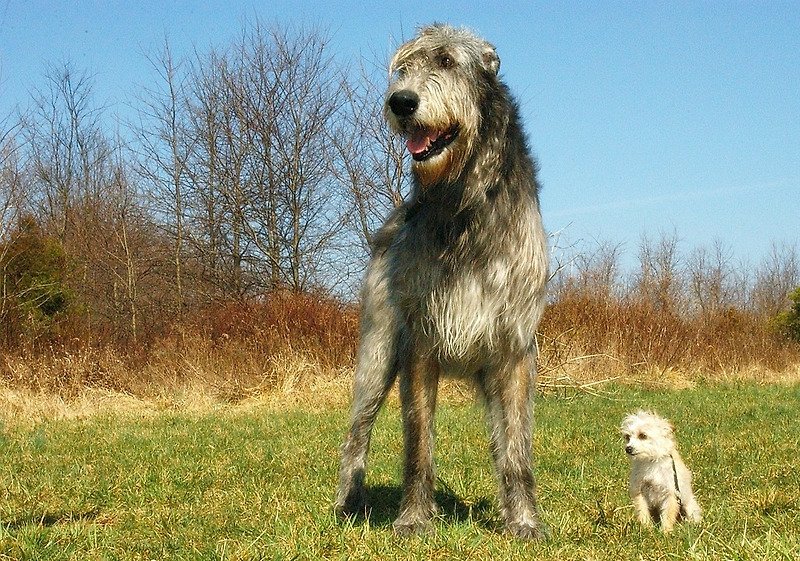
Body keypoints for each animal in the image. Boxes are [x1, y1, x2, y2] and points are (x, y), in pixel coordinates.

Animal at [332, 23, 552, 540]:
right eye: (403, 69)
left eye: (448, 62)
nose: (401, 102)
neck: (462, 201)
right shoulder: (419, 343)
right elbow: (418, 444)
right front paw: (413, 519)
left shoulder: (515, 349)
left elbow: (517, 449)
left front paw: (524, 521)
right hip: (376, 353)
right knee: (357, 432)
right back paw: (350, 501)